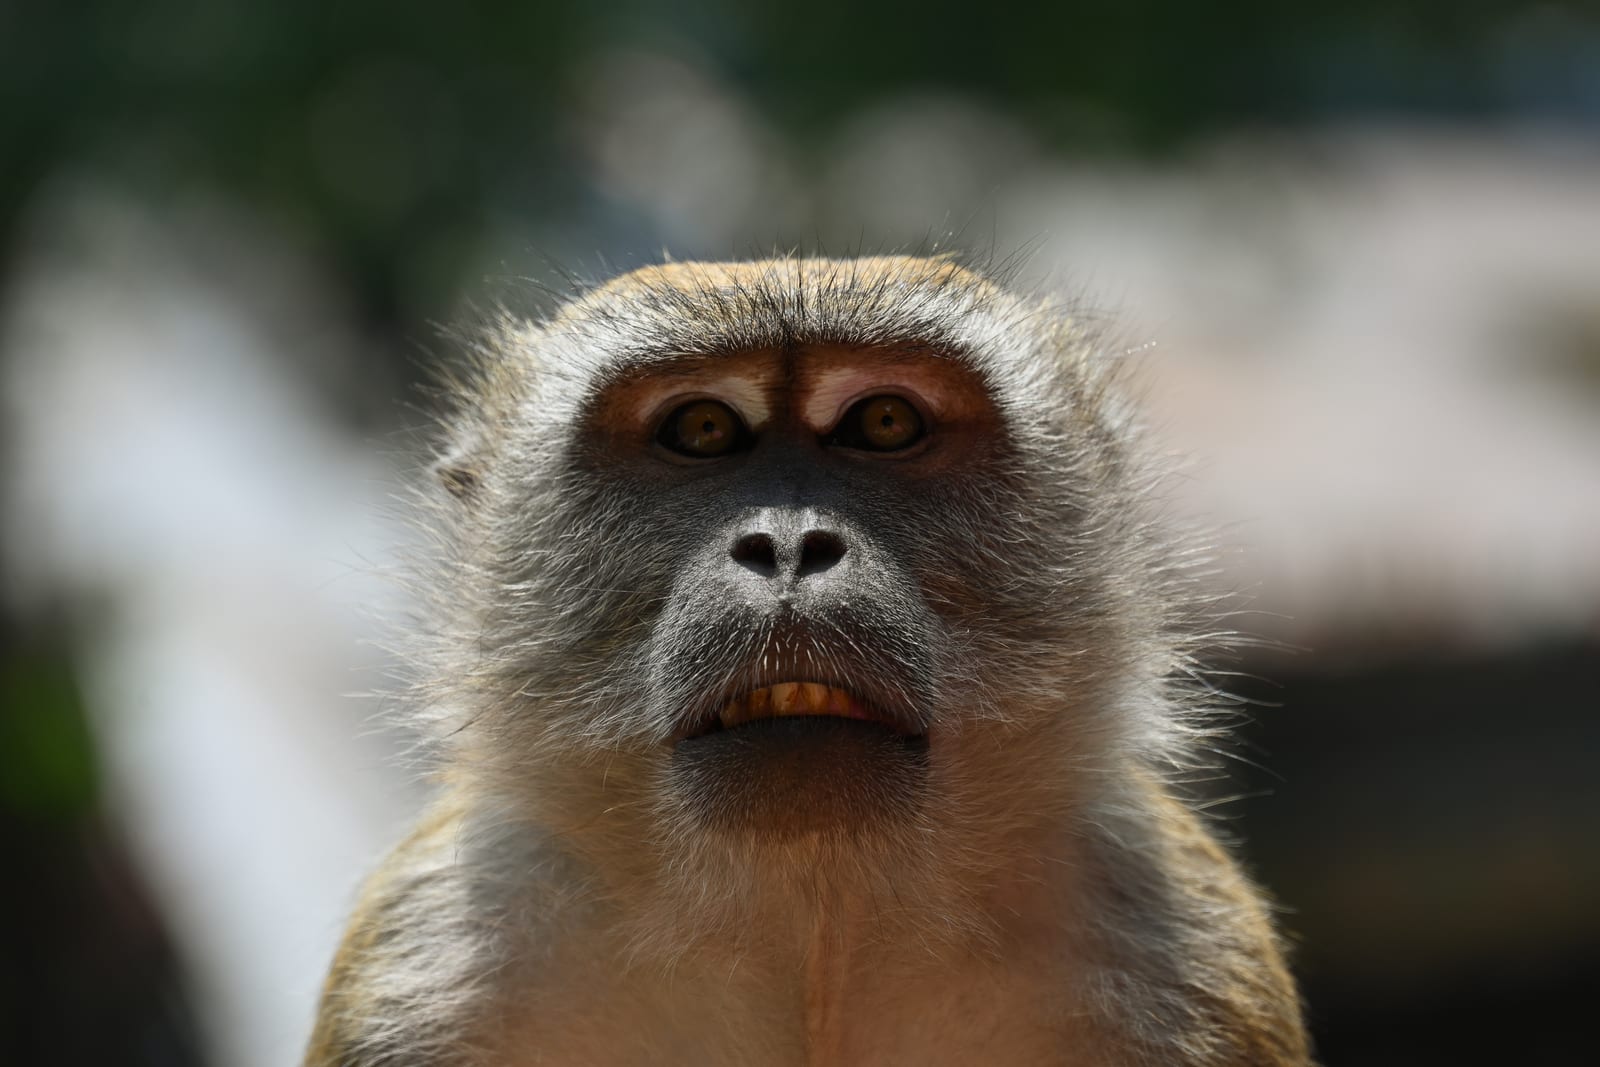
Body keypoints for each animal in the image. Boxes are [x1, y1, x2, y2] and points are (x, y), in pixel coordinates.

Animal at [305, 256, 1311, 1066]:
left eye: (885, 420)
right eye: (703, 429)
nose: (788, 544)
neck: (812, 935)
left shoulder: (1177, 945)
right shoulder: (426, 962)